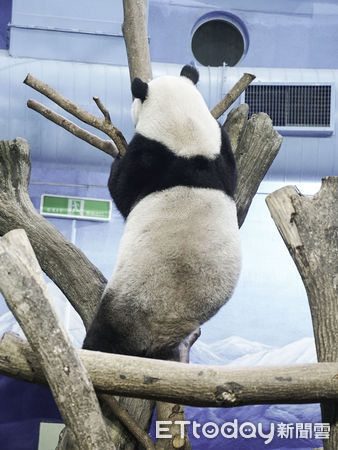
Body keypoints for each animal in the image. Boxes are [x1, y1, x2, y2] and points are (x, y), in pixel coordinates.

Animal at [82, 65, 240, 360]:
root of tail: (158, 332)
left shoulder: (149, 155)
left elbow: (122, 190)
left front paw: (115, 162)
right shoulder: (221, 151)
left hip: (128, 304)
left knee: (104, 336)